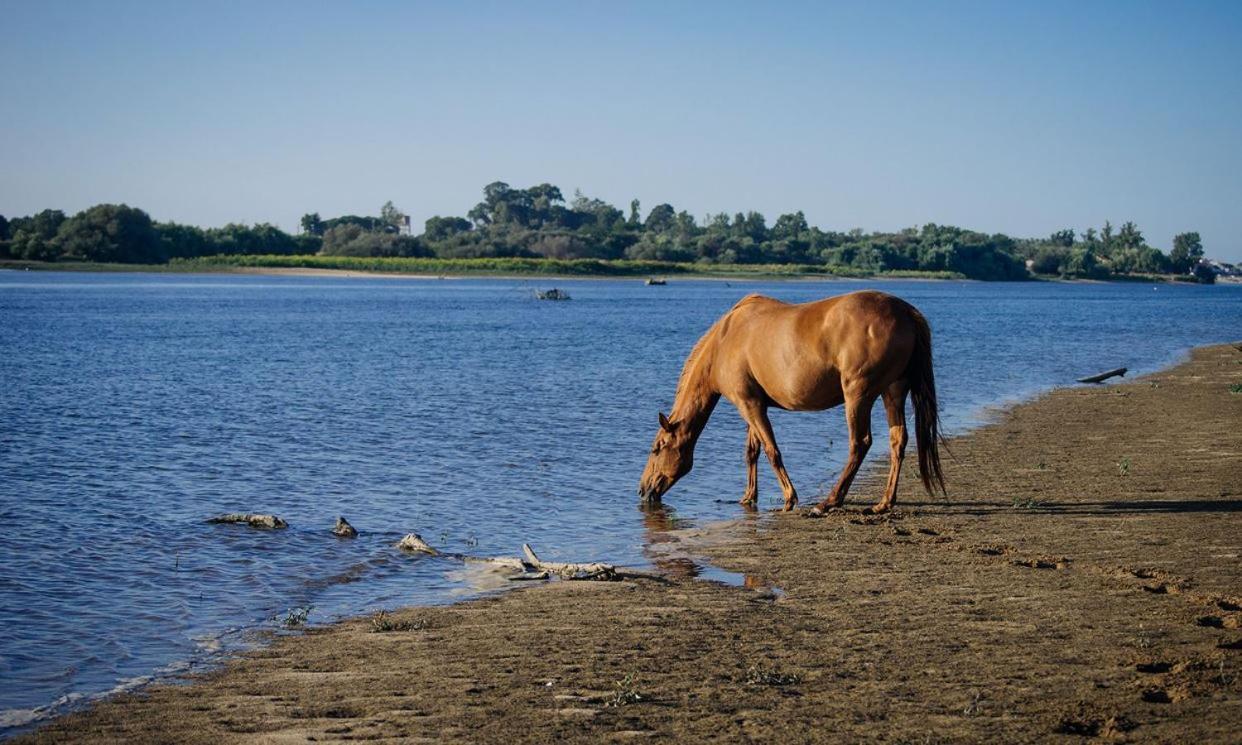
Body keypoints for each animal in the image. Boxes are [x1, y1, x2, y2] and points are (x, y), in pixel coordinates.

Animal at [635, 289, 943, 511]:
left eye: (657, 449)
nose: (642, 490)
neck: (724, 341)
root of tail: (905, 312)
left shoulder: (748, 404)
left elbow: (772, 451)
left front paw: (789, 497)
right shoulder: (754, 405)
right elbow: (752, 452)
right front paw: (748, 497)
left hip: (858, 395)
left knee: (860, 443)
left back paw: (829, 502)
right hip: (893, 391)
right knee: (897, 441)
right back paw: (884, 503)